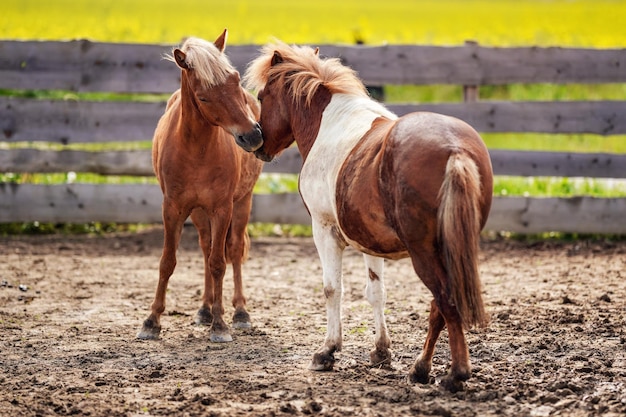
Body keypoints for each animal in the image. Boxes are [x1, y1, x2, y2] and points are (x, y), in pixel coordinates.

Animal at [136, 28, 264, 342]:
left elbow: (220, 263)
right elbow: (168, 261)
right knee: (207, 248)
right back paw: (205, 309)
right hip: (198, 212)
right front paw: (152, 321)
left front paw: (220, 325)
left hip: (242, 203)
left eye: (234, 79)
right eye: (203, 98)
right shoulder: (173, 209)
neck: (196, 149)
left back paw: (239, 312)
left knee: (233, 250)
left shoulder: (222, 208)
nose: (253, 135)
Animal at [239, 42, 492, 390]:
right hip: (450, 248)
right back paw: (421, 368)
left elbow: (332, 289)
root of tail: (454, 149)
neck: (329, 124)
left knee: (445, 300)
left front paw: (328, 352)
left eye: (263, 96)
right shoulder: (369, 241)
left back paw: (456, 373)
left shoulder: (324, 230)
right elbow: (376, 293)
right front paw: (381, 352)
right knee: (438, 307)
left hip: (426, 253)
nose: (257, 143)